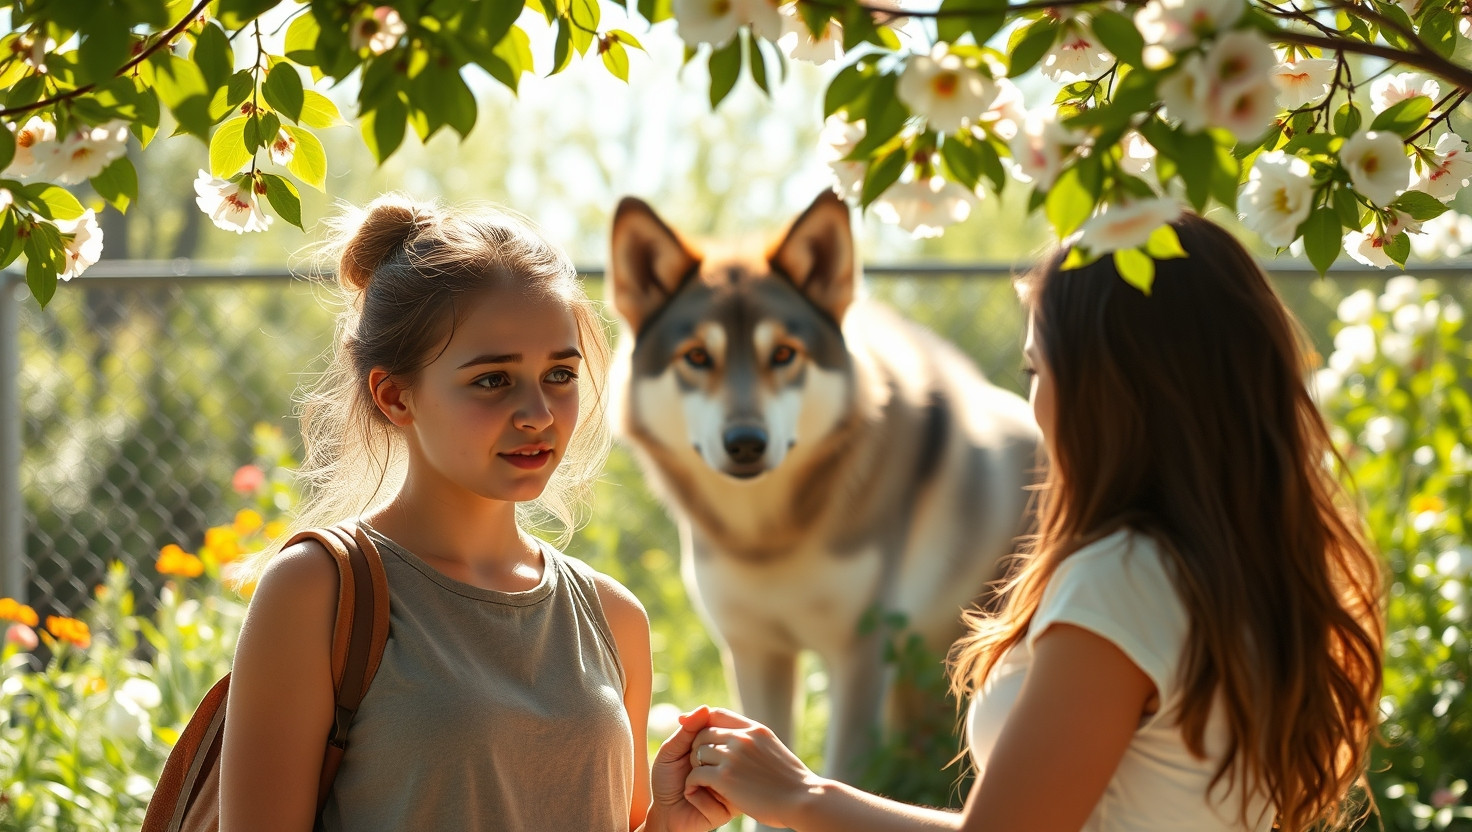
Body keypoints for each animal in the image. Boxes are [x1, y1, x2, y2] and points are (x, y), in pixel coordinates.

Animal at [607, 190, 1041, 787]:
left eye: (784, 354)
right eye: (696, 356)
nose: (746, 443)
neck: (769, 539)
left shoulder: (860, 652)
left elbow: (845, 774)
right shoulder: (754, 650)